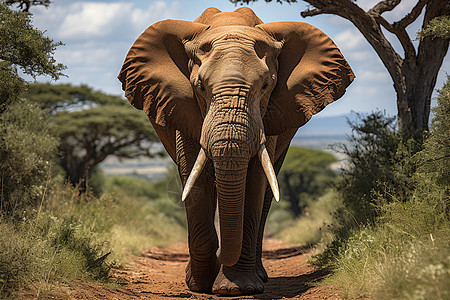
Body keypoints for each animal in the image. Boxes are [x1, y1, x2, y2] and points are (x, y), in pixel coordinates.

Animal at [118, 6, 354, 296]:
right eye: (199, 86)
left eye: (265, 86)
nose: (223, 258)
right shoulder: (182, 108)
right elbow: (194, 178)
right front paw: (199, 284)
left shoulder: (268, 117)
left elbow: (254, 181)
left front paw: (236, 288)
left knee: (267, 193)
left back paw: (259, 275)